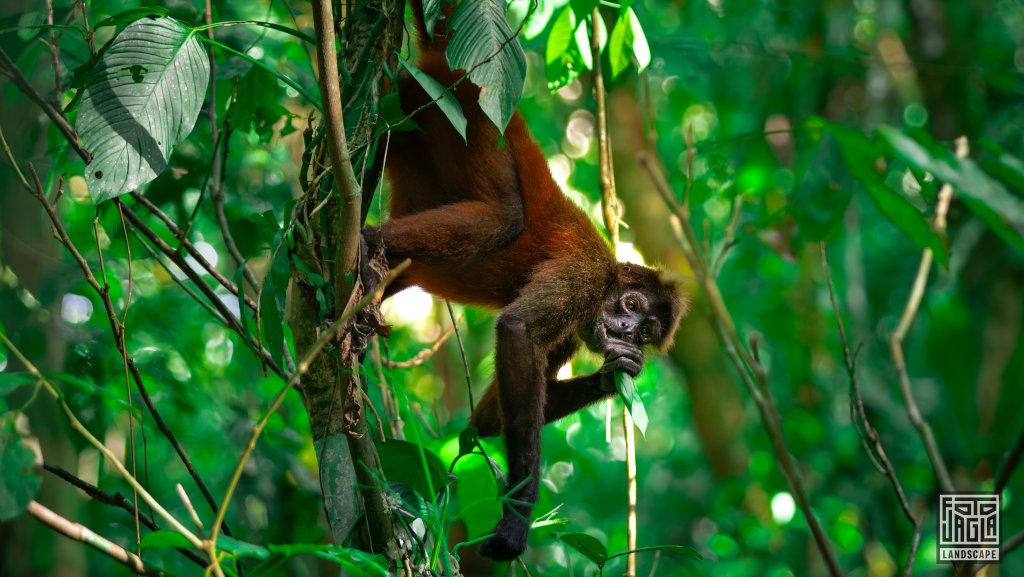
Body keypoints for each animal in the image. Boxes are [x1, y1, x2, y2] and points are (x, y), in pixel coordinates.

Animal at [361, 0, 685, 561]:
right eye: (630, 305)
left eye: (647, 331)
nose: (626, 333)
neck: (606, 281)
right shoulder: (584, 276)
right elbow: (517, 332)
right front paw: (518, 516)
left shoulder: (575, 330)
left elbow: (489, 420)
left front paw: (617, 373)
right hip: (462, 105)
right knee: (503, 217)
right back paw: (362, 241)